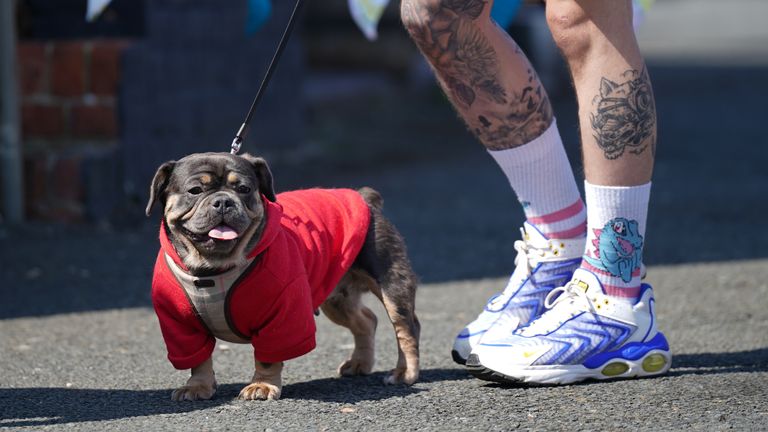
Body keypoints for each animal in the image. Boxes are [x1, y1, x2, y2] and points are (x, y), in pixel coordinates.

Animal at [144, 153, 420, 402]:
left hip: (390, 282)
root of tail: (364, 197)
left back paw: (404, 372)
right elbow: (199, 359)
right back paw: (359, 363)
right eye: (195, 190)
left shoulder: (282, 316)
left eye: (244, 189)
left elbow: (268, 356)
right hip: (336, 299)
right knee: (366, 320)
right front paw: (197, 386)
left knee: (406, 326)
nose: (223, 201)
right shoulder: (180, 326)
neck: (212, 268)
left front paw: (262, 385)